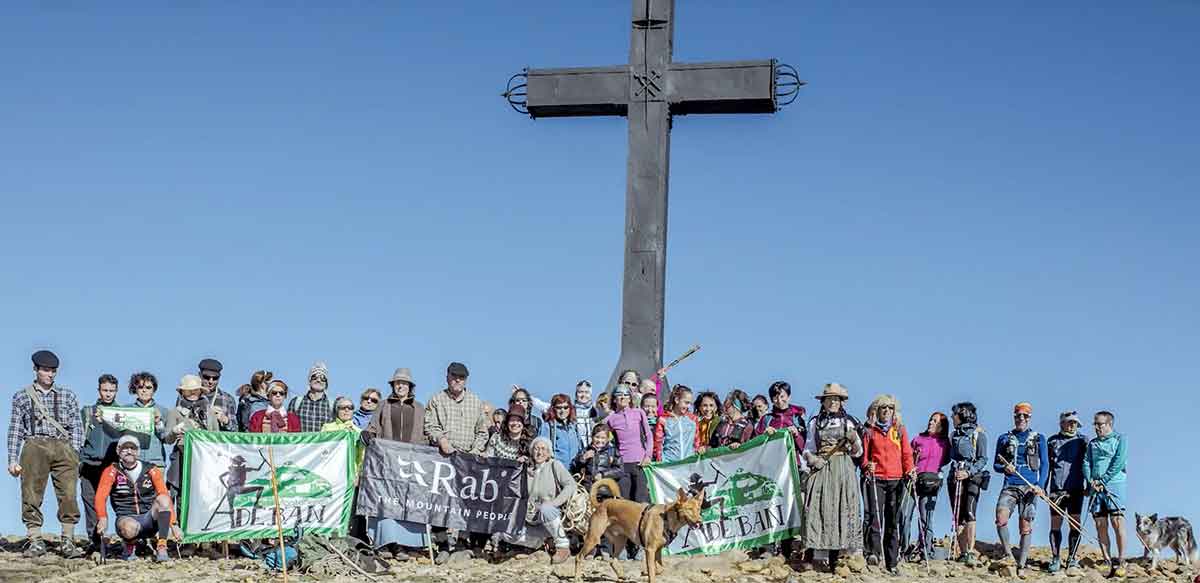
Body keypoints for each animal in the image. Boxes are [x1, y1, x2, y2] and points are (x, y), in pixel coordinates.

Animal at [576, 477, 705, 583]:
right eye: (689, 509)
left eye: (698, 509)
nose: (700, 522)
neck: (666, 518)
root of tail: (601, 504)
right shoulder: (650, 550)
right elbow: (652, 572)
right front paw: (648, 573)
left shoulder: (658, 550)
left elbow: (660, 569)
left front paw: (646, 572)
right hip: (593, 539)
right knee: (579, 557)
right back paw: (577, 578)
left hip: (621, 541)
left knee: (613, 561)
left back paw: (621, 576)